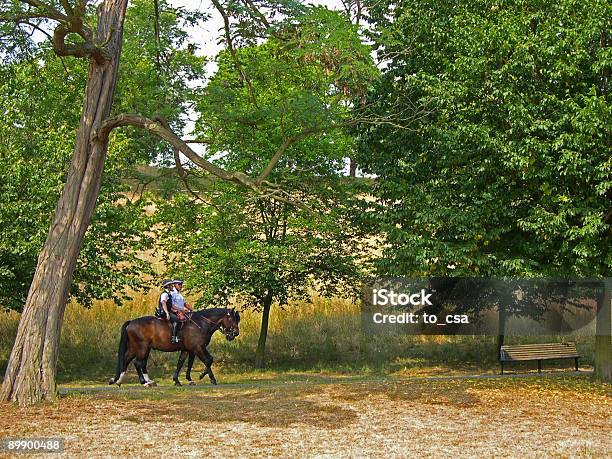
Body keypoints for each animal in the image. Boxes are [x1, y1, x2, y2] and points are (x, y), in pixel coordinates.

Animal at [107, 308, 239, 386]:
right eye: (232, 319)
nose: (235, 333)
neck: (201, 324)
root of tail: (131, 322)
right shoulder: (198, 348)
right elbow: (208, 360)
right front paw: (209, 377)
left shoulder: (188, 350)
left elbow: (183, 363)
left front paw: (182, 379)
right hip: (142, 348)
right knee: (137, 362)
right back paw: (144, 382)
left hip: (136, 348)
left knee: (128, 360)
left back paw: (120, 380)